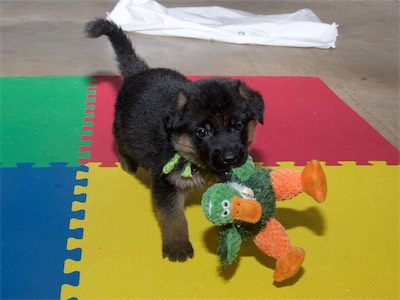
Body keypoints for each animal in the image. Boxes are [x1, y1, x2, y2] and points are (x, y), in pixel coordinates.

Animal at [85, 19, 266, 262]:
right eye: (201, 132)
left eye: (238, 125)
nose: (230, 158)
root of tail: (139, 72)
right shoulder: (165, 183)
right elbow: (173, 217)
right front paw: (177, 244)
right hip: (124, 129)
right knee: (120, 142)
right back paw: (128, 163)